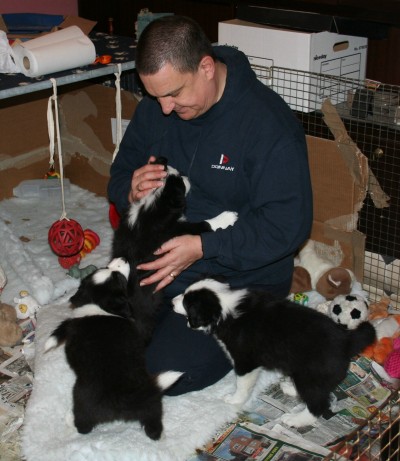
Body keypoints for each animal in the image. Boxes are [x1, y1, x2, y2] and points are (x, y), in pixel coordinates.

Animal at [45, 256, 181, 440]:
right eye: (118, 277)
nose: (123, 258)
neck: (98, 305)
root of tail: (124, 397)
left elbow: (64, 326)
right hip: (146, 402)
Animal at [111, 158, 238, 342]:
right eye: (181, 182)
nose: (187, 176)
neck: (153, 202)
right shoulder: (176, 231)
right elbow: (203, 225)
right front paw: (227, 217)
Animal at [173, 276, 378, 428]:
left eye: (186, 302)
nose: (171, 301)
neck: (224, 307)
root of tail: (346, 341)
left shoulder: (245, 362)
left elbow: (242, 385)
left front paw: (234, 400)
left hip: (311, 375)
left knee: (318, 404)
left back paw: (295, 420)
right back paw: (290, 388)